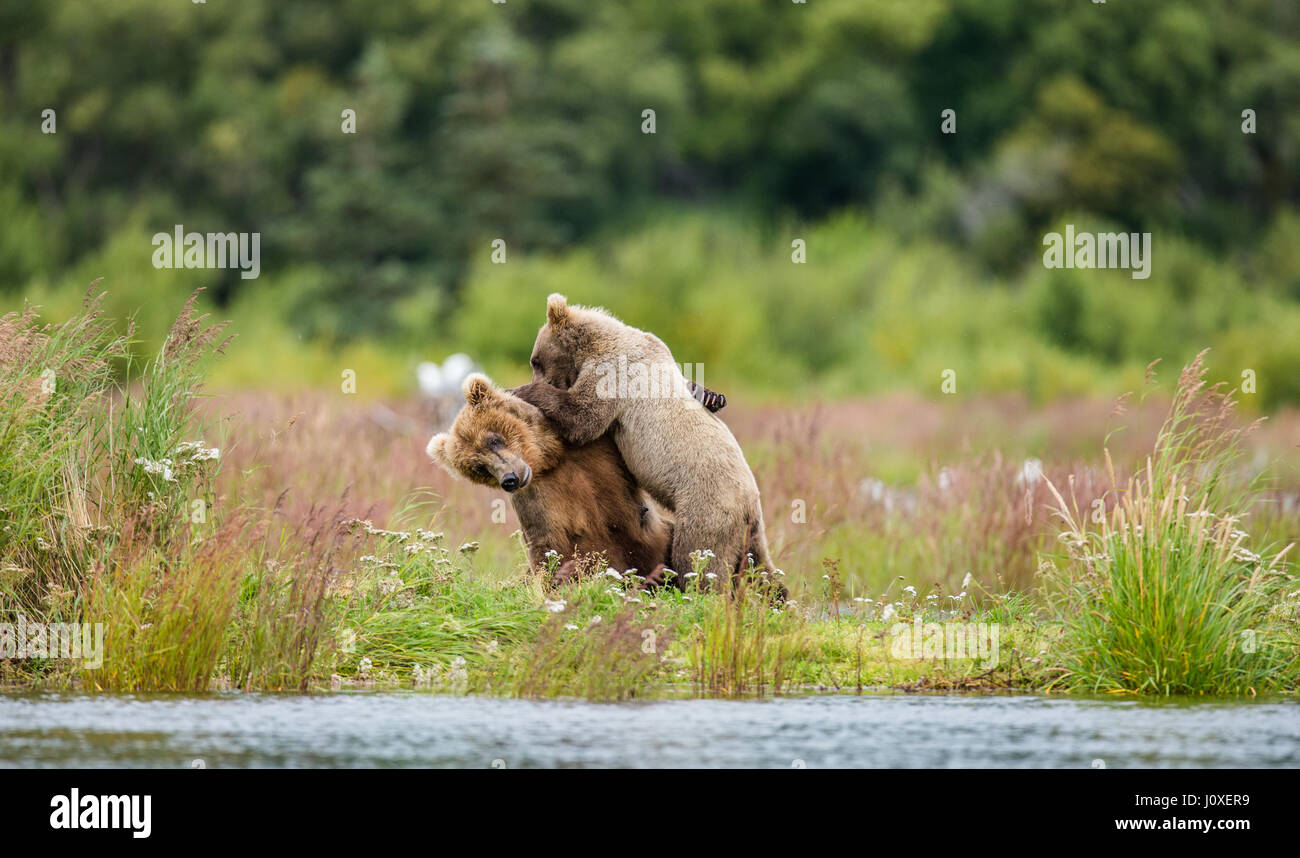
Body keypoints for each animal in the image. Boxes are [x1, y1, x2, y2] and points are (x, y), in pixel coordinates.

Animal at [427, 373, 675, 585]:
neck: (551, 457)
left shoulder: (597, 451)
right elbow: (546, 546)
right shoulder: (538, 499)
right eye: (479, 468)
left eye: (493, 440)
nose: (509, 479)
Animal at [508, 293, 777, 583]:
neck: (597, 344)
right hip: (749, 531)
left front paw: (521, 390)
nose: (535, 374)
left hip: (707, 508)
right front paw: (708, 395)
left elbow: (583, 418)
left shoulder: (614, 372)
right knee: (761, 568)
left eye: (535, 361)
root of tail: (750, 503)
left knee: (698, 557)